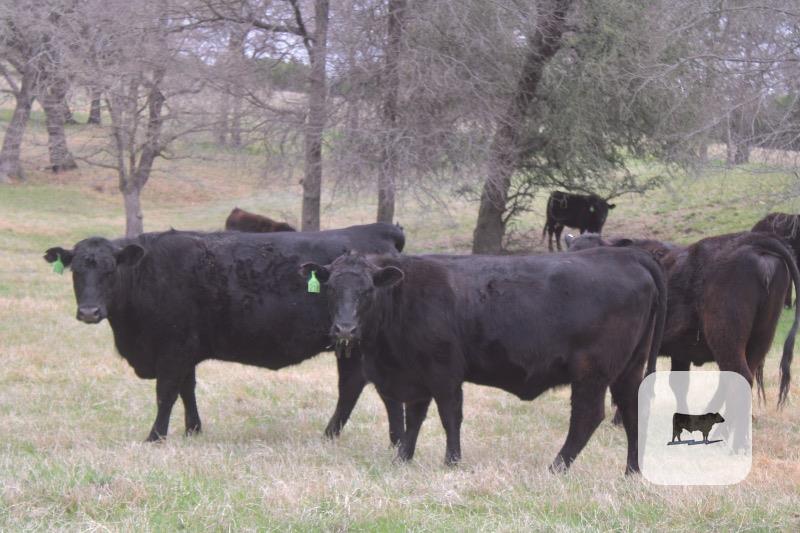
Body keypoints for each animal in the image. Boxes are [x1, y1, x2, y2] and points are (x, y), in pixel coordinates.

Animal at [43, 223, 406, 443]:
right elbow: (187, 389)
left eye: (109, 270)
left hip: (355, 341)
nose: (89, 312)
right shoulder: (185, 351)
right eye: (76, 272)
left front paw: (155, 437)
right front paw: (193, 430)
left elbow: (166, 393)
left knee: (354, 387)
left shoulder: (172, 349)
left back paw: (336, 435)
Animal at [300, 247, 667, 474]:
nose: (344, 328)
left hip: (592, 372)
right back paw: (632, 471)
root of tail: (626, 255)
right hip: (629, 369)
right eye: (331, 289)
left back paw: (556, 468)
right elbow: (414, 417)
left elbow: (449, 415)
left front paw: (451, 461)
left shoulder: (443, 370)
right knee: (632, 411)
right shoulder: (417, 375)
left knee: (587, 417)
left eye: (367, 291)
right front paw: (403, 458)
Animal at [566, 231, 800, 415]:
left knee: (738, 376)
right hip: (761, 338)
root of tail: (754, 242)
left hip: (726, 337)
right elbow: (678, 384)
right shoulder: (680, 352)